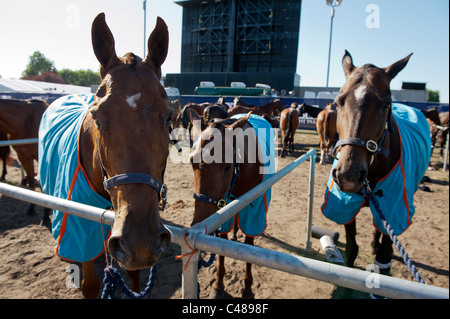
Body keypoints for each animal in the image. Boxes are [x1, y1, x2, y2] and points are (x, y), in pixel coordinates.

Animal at [38, 13, 171, 300]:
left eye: (169, 117)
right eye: (97, 118)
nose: (141, 240)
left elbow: (134, 277)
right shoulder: (78, 228)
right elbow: (89, 284)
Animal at [187, 111, 272, 298]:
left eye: (227, 165)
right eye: (191, 161)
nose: (201, 220)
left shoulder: (253, 215)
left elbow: (250, 247)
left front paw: (247, 287)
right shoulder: (222, 216)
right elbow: (221, 246)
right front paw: (218, 284)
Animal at [326, 51, 428, 278]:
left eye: (386, 104)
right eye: (338, 102)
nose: (349, 175)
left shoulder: (395, 206)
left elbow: (384, 254)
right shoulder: (346, 205)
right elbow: (352, 248)